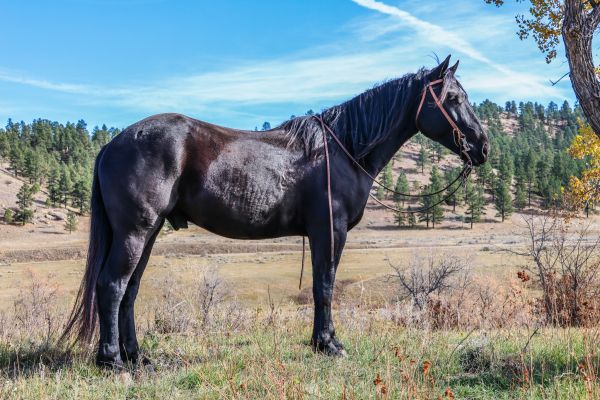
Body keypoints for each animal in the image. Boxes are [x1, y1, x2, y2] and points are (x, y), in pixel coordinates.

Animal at [64, 55, 488, 368]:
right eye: (452, 98)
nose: (482, 146)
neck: (344, 148)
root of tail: (113, 143)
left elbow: (322, 286)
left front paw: (322, 341)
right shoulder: (329, 231)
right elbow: (324, 286)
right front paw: (328, 344)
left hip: (148, 233)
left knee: (130, 290)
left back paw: (137, 357)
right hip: (135, 233)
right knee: (112, 285)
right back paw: (112, 361)